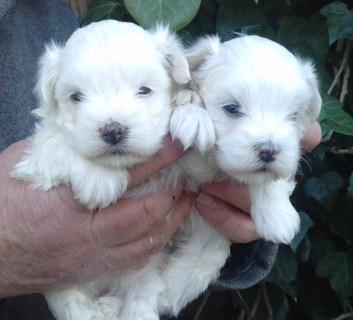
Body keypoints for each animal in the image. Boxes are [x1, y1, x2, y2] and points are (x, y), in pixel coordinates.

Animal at [11, 20, 190, 320]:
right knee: (74, 306)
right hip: (64, 282)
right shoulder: (38, 155)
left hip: (144, 274)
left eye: (144, 90)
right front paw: (100, 180)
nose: (113, 130)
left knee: (140, 298)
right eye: (76, 97)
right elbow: (58, 143)